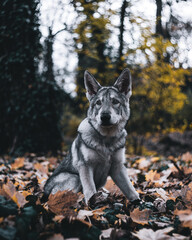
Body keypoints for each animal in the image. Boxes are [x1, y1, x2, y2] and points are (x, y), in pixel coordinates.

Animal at [43, 68, 140, 203]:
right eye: (98, 102)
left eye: (115, 102)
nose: (104, 116)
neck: (107, 139)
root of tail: (44, 192)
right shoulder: (85, 166)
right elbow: (89, 189)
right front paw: (92, 203)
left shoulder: (117, 167)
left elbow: (129, 188)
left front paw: (138, 201)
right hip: (75, 178)